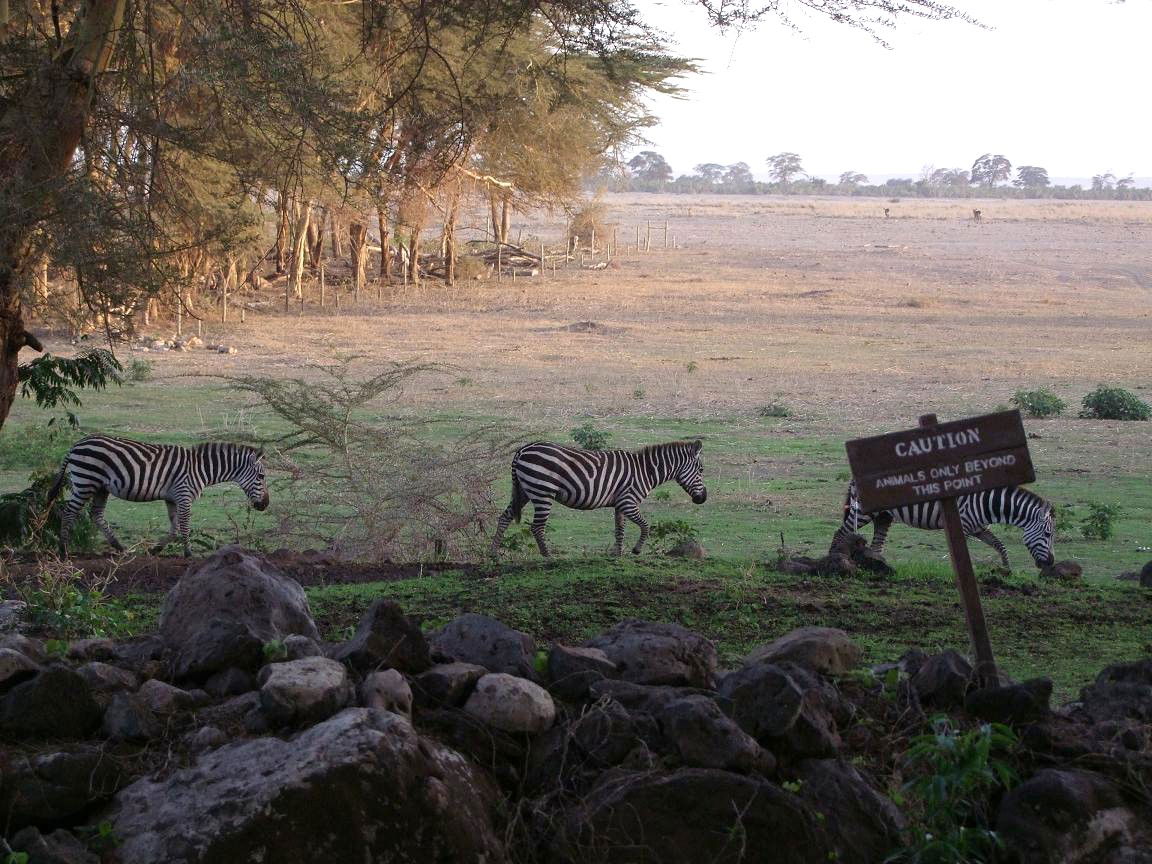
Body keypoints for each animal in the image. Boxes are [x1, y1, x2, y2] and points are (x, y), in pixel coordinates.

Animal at [47, 435, 269, 557]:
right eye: (262, 476)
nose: (265, 505)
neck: (200, 468)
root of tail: (77, 444)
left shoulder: (172, 498)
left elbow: (174, 527)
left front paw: (155, 550)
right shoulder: (184, 494)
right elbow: (185, 526)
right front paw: (189, 553)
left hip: (100, 487)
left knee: (96, 515)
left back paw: (120, 548)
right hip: (86, 481)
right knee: (69, 511)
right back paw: (63, 550)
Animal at [490, 442, 705, 557]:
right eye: (701, 470)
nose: (703, 499)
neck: (646, 471)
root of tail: (523, 450)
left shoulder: (620, 504)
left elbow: (619, 530)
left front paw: (617, 554)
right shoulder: (628, 501)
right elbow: (646, 525)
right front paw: (636, 550)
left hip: (524, 492)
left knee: (505, 517)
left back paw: (494, 554)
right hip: (543, 492)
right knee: (537, 527)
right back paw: (548, 556)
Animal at [829, 483, 1055, 571]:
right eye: (1047, 533)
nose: (1050, 563)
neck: (986, 502)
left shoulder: (979, 528)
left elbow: (1000, 546)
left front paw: (1007, 571)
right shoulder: (964, 525)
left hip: (884, 516)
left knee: (877, 544)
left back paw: (878, 565)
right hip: (863, 513)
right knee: (841, 532)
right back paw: (834, 559)